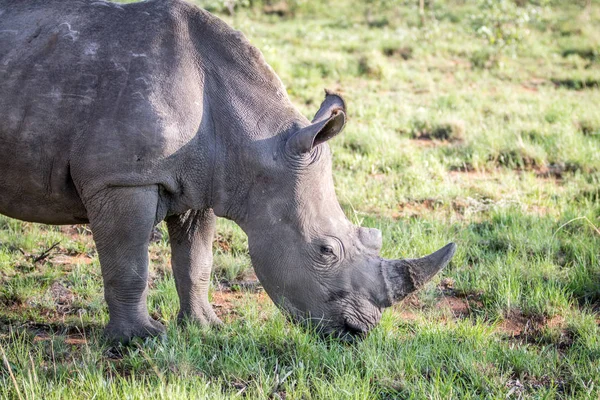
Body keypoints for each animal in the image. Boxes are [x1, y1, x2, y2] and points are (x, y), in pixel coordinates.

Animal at [0, 0, 454, 342]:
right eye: (326, 250)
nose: (359, 331)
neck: (252, 140)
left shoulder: (201, 183)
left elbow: (196, 262)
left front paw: (206, 328)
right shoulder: (122, 179)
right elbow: (130, 264)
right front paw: (140, 340)